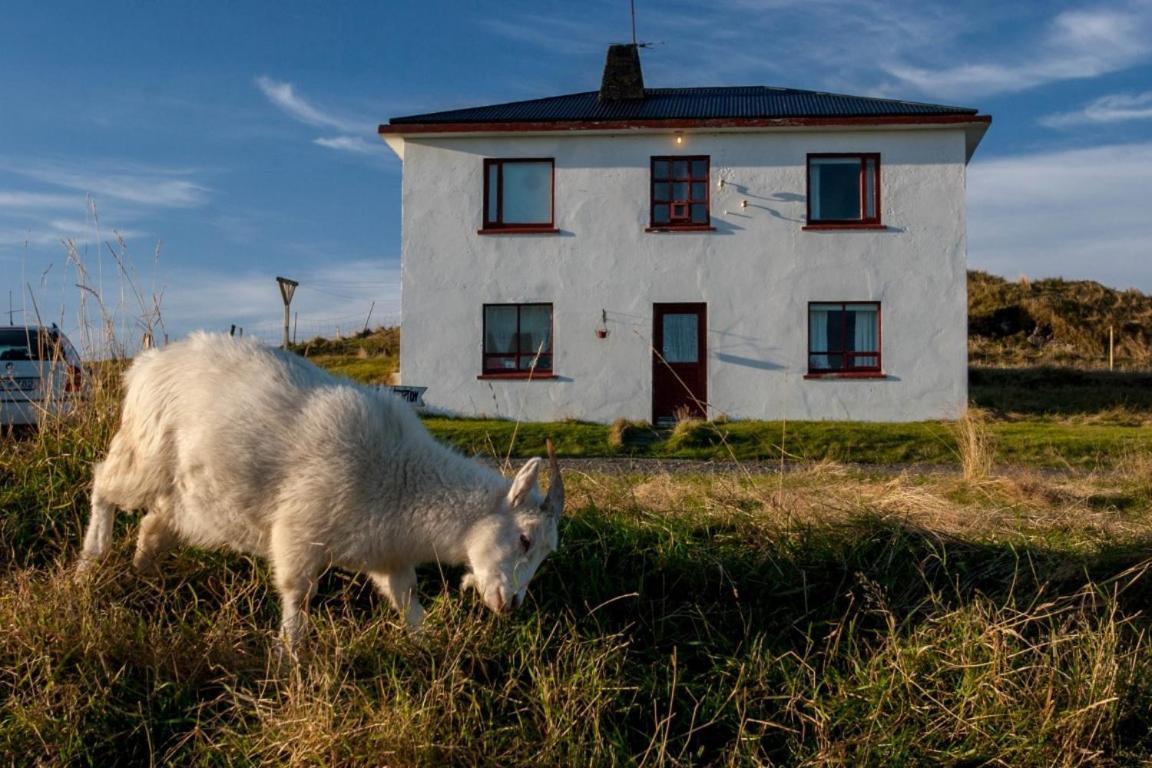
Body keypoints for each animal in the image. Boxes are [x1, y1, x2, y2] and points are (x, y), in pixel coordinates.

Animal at [75, 333, 562, 644]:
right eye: (524, 539)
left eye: (545, 553)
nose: (512, 604)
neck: (404, 479)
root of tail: (146, 364)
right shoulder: (299, 534)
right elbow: (296, 598)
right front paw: (289, 659)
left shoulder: (387, 558)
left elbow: (408, 605)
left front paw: (432, 649)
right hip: (143, 455)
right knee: (103, 486)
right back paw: (89, 564)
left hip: (187, 498)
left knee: (152, 526)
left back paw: (144, 577)